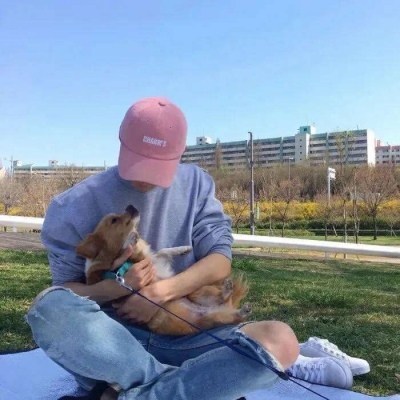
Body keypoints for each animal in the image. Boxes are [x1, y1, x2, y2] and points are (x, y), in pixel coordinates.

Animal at [76, 206, 252, 334]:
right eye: (114, 220)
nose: (130, 206)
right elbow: (130, 251)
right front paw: (131, 239)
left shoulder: (153, 259)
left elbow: (163, 251)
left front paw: (183, 249)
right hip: (213, 315)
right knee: (232, 313)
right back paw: (237, 303)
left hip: (199, 293)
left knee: (225, 302)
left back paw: (231, 294)